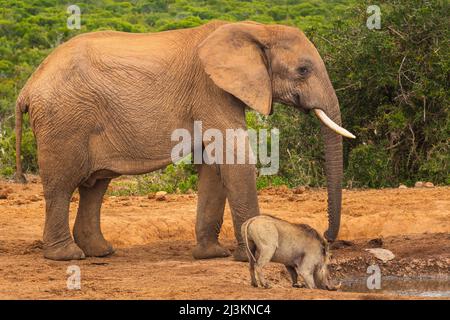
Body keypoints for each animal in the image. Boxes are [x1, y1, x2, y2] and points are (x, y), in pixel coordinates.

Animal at [14, 20, 356, 262]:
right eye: (303, 70)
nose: (326, 236)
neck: (255, 29)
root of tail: (28, 86)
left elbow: (214, 167)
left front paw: (211, 255)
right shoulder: (211, 90)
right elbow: (235, 159)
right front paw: (249, 256)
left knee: (95, 186)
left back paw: (101, 252)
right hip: (64, 122)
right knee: (62, 186)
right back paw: (67, 256)